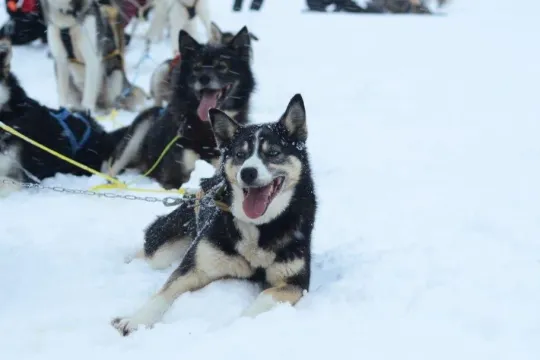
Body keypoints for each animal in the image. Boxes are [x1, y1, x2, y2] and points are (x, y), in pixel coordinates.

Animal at [113, 94, 316, 336]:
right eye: (240, 154)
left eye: (273, 152)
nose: (248, 172)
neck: (258, 228)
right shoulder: (196, 267)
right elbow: (162, 293)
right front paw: (136, 320)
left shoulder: (294, 283)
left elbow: (265, 296)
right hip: (164, 249)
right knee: (149, 253)